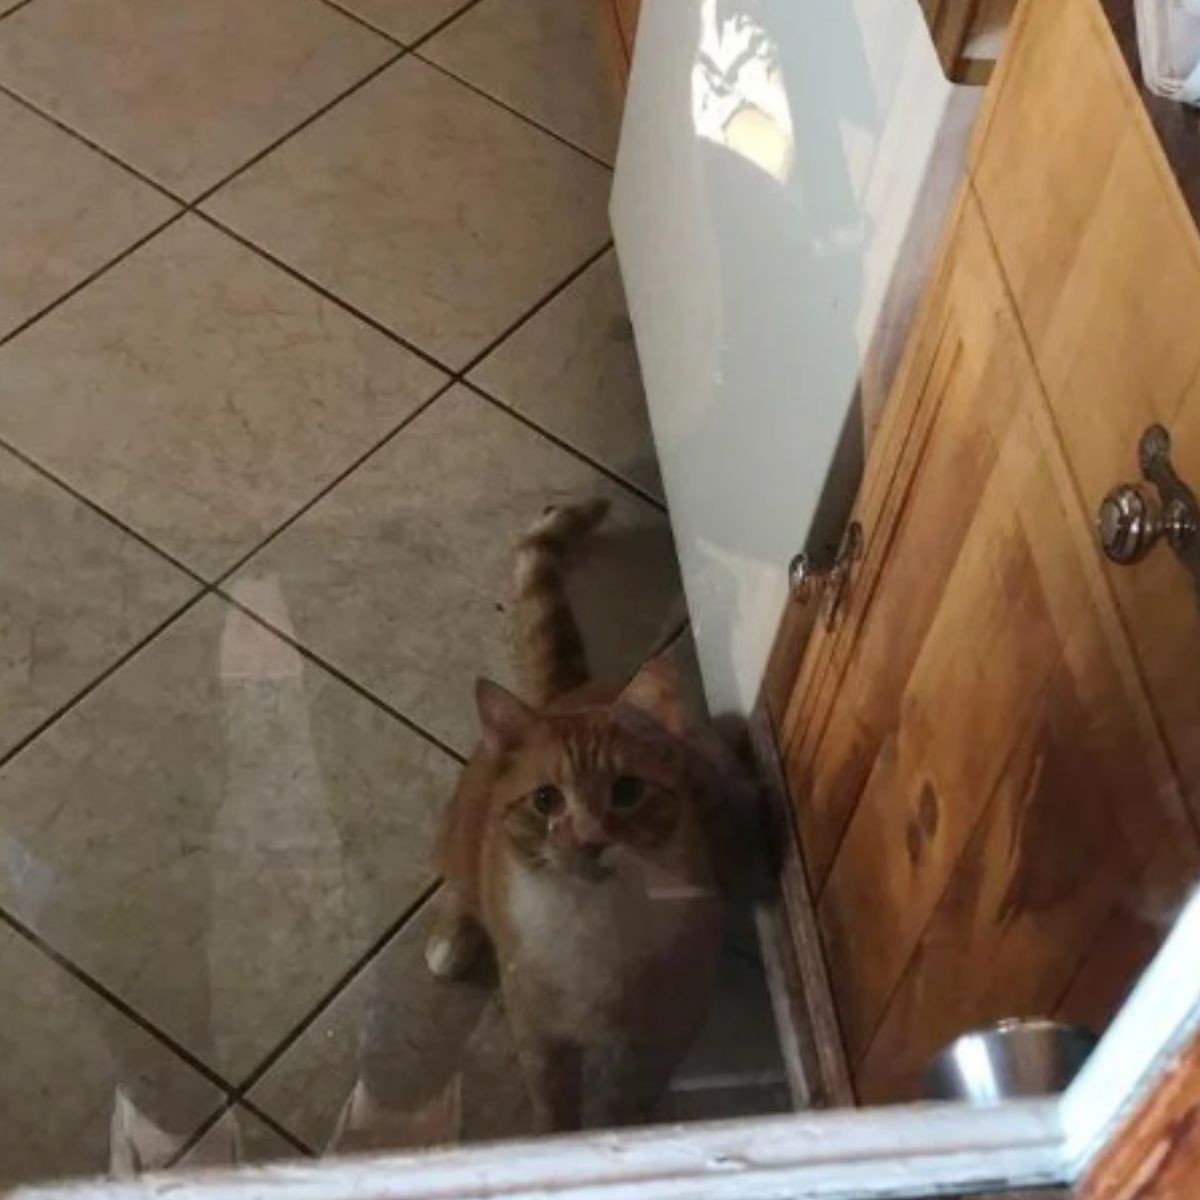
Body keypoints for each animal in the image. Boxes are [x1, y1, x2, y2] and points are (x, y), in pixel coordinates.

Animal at [429, 499, 720, 1132]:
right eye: (546, 801)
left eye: (627, 792)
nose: (588, 839)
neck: (591, 920)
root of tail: (568, 692)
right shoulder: (539, 1036)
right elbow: (553, 1107)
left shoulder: (653, 1036)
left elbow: (625, 1101)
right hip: (461, 832)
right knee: (458, 880)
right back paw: (453, 939)